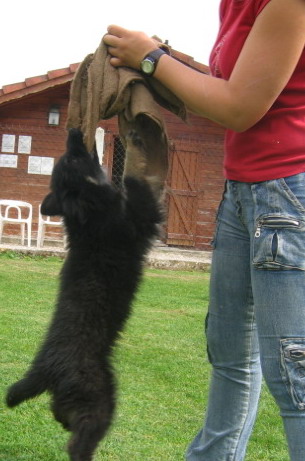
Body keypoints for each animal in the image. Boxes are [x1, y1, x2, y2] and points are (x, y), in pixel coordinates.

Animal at [5, 127, 162, 460]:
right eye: (73, 158)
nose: (75, 132)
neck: (89, 215)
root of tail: (46, 371)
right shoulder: (141, 219)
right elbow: (138, 187)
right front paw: (133, 148)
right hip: (98, 403)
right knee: (80, 442)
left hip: (67, 401)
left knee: (59, 416)